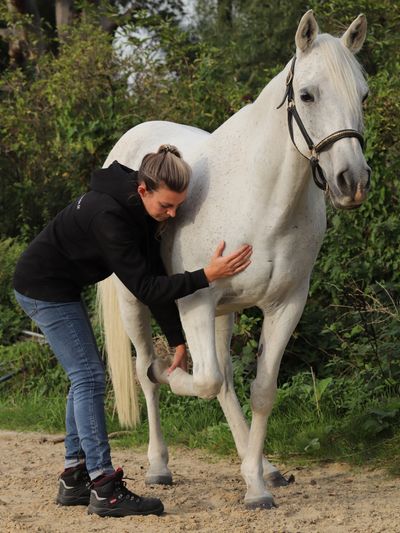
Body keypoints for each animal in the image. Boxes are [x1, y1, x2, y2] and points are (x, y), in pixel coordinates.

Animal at [98, 9, 370, 508]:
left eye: (362, 94)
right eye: (307, 94)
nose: (352, 181)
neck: (262, 196)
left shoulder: (285, 305)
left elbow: (259, 391)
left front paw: (257, 485)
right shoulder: (195, 303)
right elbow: (197, 380)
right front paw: (169, 373)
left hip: (225, 312)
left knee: (223, 380)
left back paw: (261, 467)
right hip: (135, 305)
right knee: (150, 377)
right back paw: (159, 465)